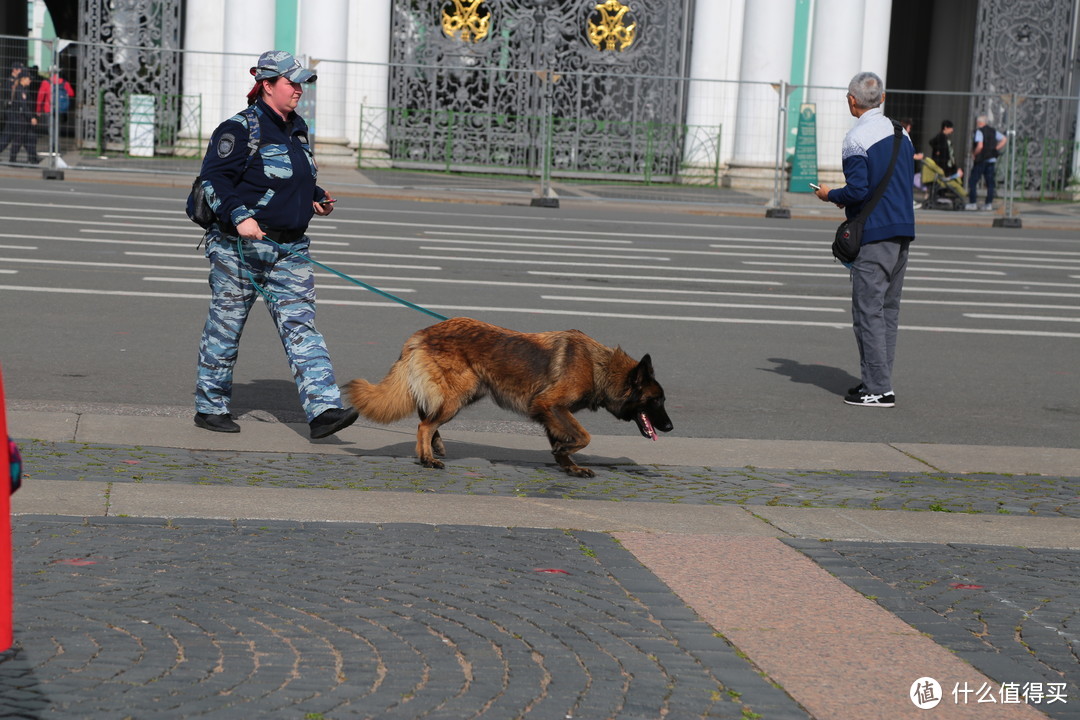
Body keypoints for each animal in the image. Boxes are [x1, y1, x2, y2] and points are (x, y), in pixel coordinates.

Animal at [345, 317, 669, 474]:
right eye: (655, 400)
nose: (669, 427)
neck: (598, 365)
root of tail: (421, 334)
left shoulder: (551, 413)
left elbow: (564, 441)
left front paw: (569, 466)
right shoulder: (551, 405)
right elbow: (584, 436)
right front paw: (566, 453)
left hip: (465, 393)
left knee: (426, 417)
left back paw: (435, 447)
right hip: (459, 395)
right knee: (424, 424)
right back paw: (427, 458)